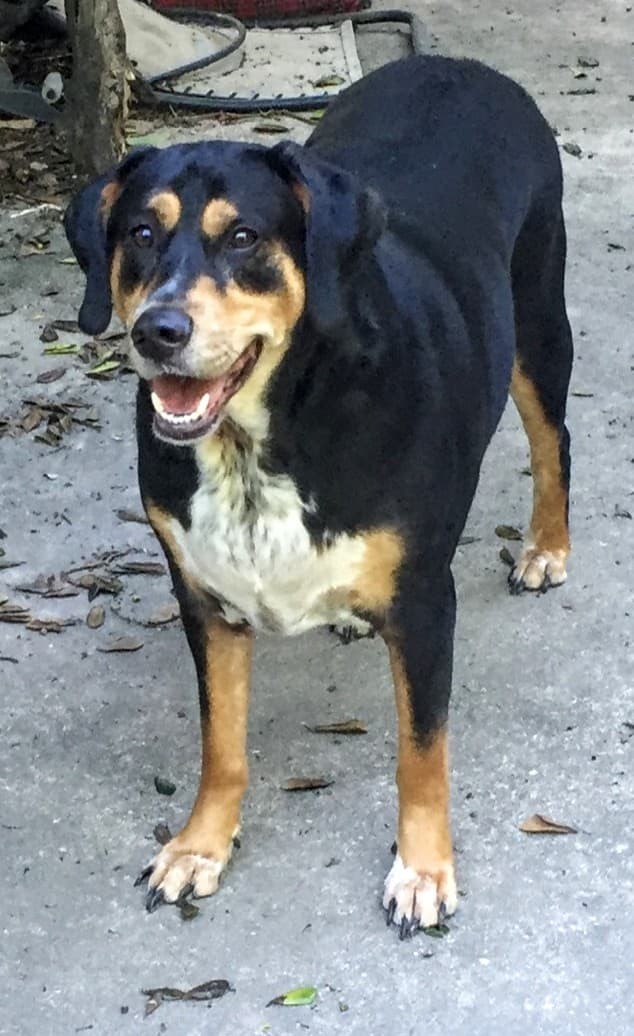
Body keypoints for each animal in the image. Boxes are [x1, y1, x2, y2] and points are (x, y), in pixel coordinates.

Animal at [65, 56, 575, 936]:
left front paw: (423, 867)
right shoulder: (206, 601)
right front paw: (200, 845)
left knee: (554, 442)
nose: (156, 331)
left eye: (244, 237)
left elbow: (421, 752)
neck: (257, 445)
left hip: (539, 324)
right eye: (140, 234)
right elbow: (222, 745)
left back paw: (546, 547)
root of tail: (456, 64)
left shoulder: (424, 605)